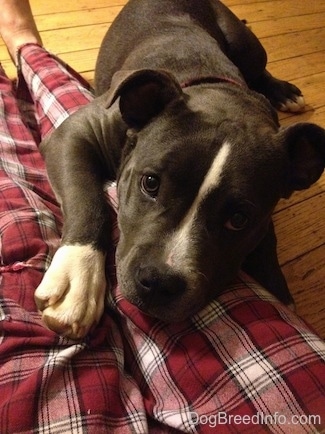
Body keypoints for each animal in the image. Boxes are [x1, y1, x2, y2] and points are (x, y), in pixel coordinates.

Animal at [33, 0, 324, 340]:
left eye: (239, 219)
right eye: (150, 183)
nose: (159, 282)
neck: (212, 88)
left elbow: (267, 240)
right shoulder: (74, 134)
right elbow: (88, 202)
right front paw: (78, 278)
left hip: (247, 46)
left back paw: (284, 92)